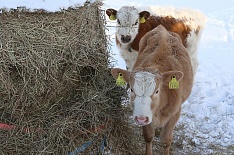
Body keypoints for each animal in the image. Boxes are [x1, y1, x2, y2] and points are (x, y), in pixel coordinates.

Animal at [111, 24, 194, 154]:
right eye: (132, 90)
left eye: (157, 91)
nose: (141, 119)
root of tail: (161, 28)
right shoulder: (144, 114)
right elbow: (148, 136)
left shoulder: (175, 112)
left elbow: (166, 140)